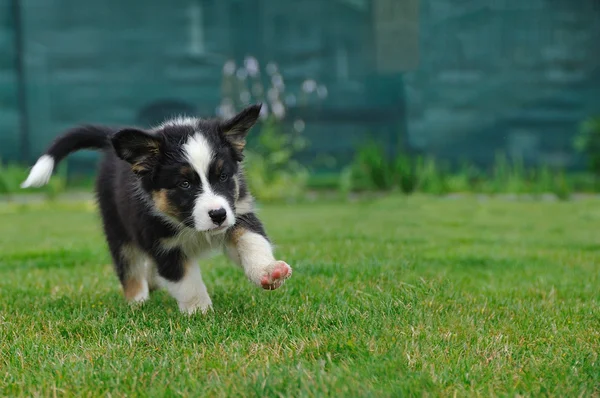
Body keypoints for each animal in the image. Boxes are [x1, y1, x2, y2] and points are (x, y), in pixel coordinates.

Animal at [22, 104, 294, 316]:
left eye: (223, 176)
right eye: (184, 184)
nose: (217, 215)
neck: (189, 226)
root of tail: (111, 140)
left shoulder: (239, 212)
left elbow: (253, 241)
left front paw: (269, 272)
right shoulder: (161, 244)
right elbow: (186, 281)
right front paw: (200, 312)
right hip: (117, 228)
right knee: (129, 267)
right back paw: (137, 301)